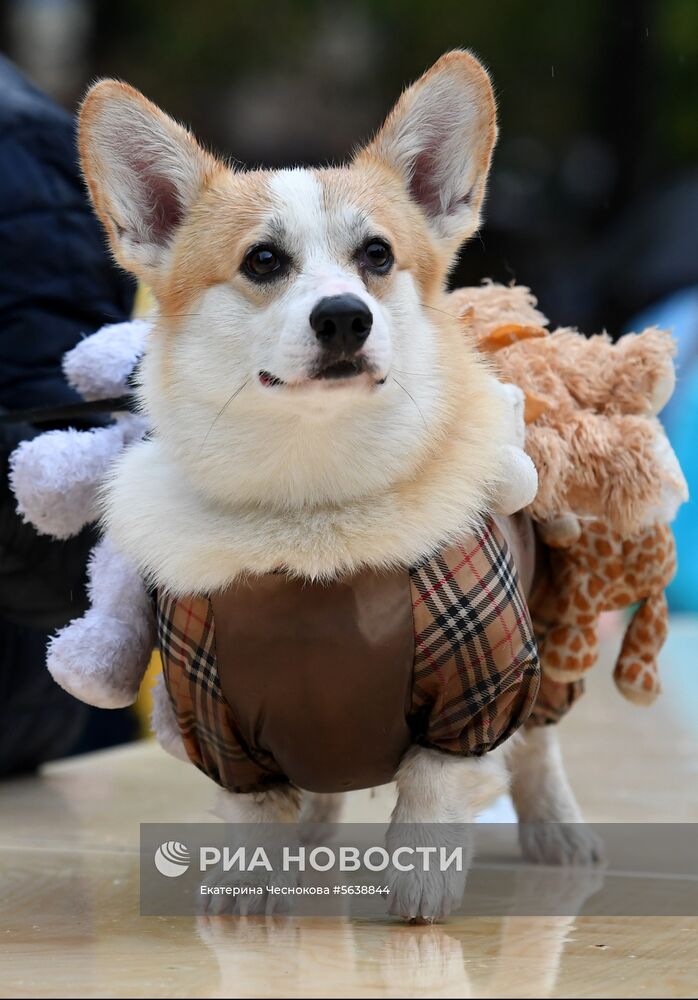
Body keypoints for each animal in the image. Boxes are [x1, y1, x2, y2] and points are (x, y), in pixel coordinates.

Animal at [77, 50, 600, 916]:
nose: (345, 317)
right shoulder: (217, 719)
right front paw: (249, 891)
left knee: (539, 748)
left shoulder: (478, 691)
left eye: (378, 257)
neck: (312, 493)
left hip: (550, 640)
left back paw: (559, 833)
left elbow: (432, 789)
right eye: (263, 261)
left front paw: (420, 884)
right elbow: (255, 813)